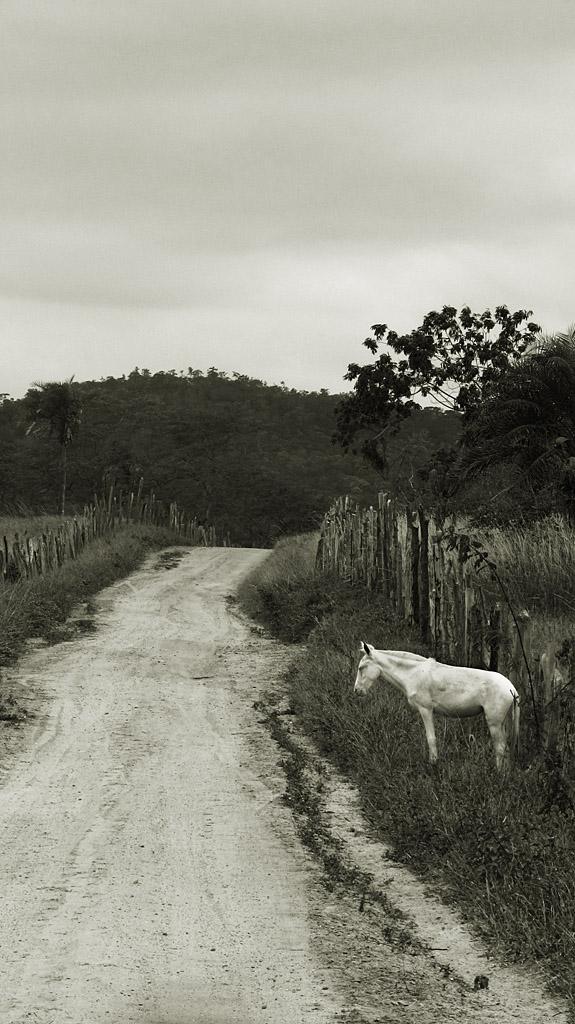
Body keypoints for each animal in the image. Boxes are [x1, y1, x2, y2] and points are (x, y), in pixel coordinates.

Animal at [351, 638, 517, 770]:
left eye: (361, 668)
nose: (357, 691)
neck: (413, 673)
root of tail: (511, 688)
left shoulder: (426, 709)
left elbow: (431, 738)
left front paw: (433, 764)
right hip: (503, 722)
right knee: (507, 747)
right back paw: (505, 773)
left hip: (494, 722)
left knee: (500, 748)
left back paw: (498, 774)